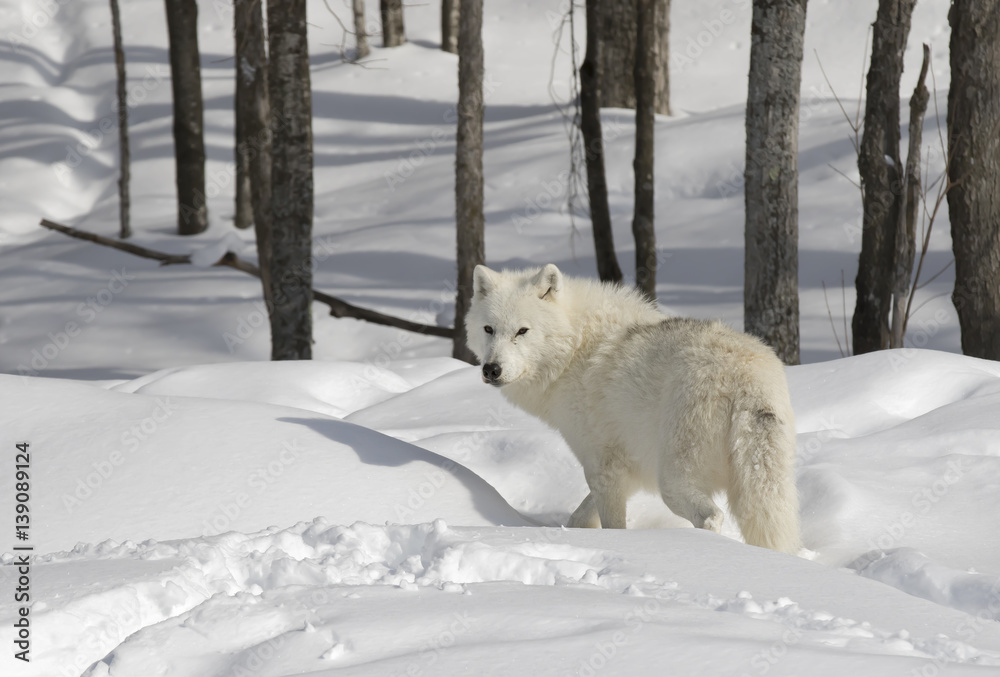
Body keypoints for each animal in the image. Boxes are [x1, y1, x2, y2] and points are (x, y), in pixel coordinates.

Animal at [465, 263, 801, 554]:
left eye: (522, 331)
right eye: (489, 329)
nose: (491, 370)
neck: (574, 349)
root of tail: (746, 378)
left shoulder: (602, 466)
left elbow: (613, 525)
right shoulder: (628, 469)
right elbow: (579, 516)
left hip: (673, 482)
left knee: (710, 517)